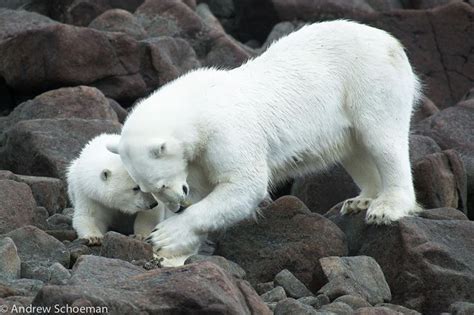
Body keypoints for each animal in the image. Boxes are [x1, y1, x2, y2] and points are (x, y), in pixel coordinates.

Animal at [106, 21, 418, 260]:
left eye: (159, 186)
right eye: (145, 189)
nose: (176, 205)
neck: (197, 105)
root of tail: (390, 40)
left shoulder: (226, 133)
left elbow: (245, 185)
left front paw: (165, 236)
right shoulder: (196, 160)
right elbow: (206, 193)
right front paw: (171, 254)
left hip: (370, 81)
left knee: (382, 139)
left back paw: (387, 206)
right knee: (355, 150)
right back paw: (361, 199)